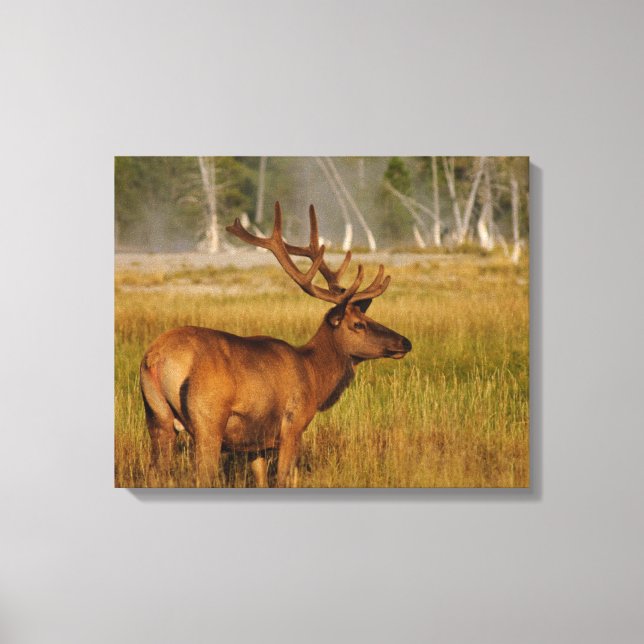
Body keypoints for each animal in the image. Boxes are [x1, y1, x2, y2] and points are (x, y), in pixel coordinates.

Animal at [140, 202, 412, 487]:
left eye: (369, 317)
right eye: (358, 324)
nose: (405, 342)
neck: (314, 375)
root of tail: (155, 357)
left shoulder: (256, 442)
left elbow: (261, 480)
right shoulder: (293, 424)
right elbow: (284, 478)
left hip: (157, 417)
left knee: (155, 472)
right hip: (208, 420)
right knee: (202, 475)